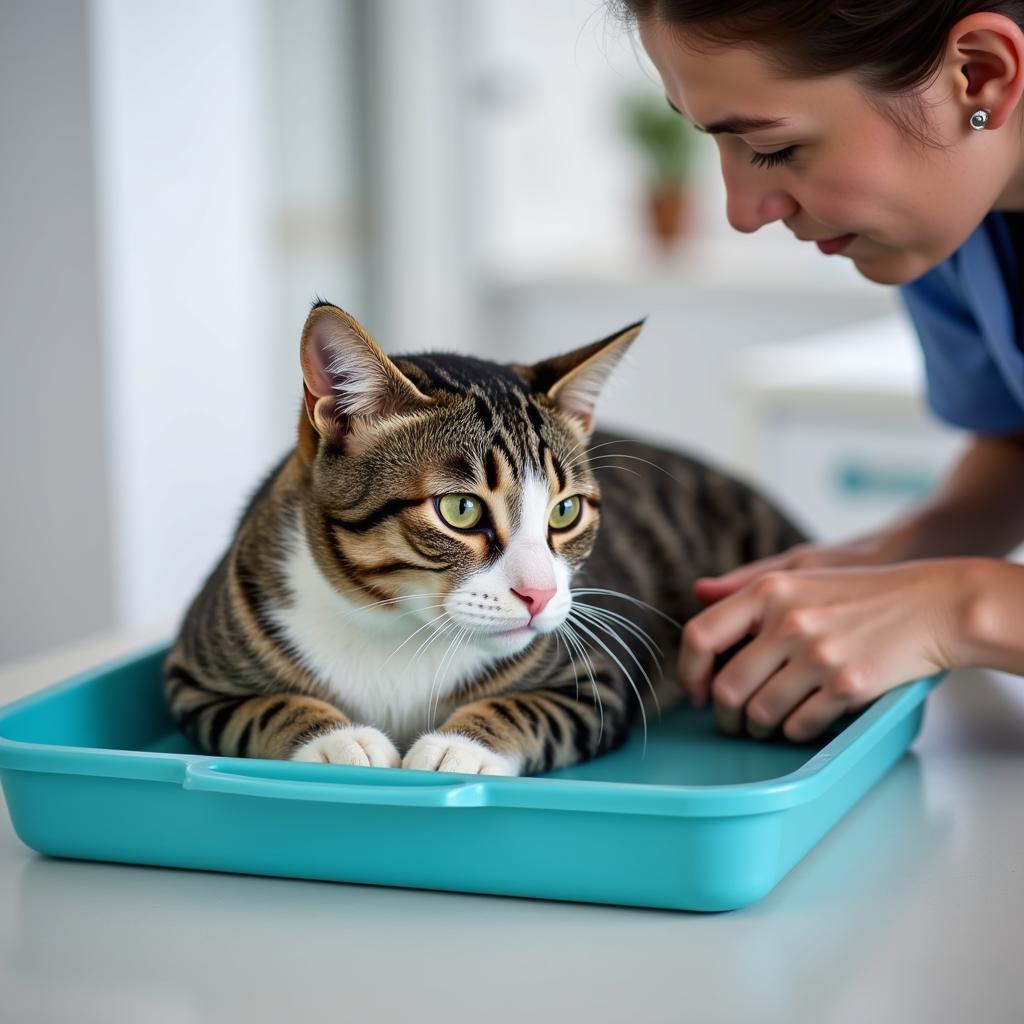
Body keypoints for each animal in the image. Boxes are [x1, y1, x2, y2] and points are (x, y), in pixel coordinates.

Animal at [163, 303, 802, 774]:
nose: (540, 595)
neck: (396, 629)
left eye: (565, 511)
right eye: (461, 509)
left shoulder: (598, 680)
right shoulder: (193, 676)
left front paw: (459, 746)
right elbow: (260, 709)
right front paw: (336, 740)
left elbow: (532, 708)